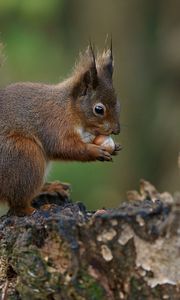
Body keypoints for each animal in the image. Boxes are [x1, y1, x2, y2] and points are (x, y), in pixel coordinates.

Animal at [0, 44, 121, 216]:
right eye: (99, 109)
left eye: (118, 103)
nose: (117, 130)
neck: (69, 108)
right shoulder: (54, 124)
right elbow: (63, 147)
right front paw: (94, 151)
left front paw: (114, 148)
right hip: (24, 155)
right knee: (18, 205)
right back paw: (38, 209)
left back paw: (48, 188)